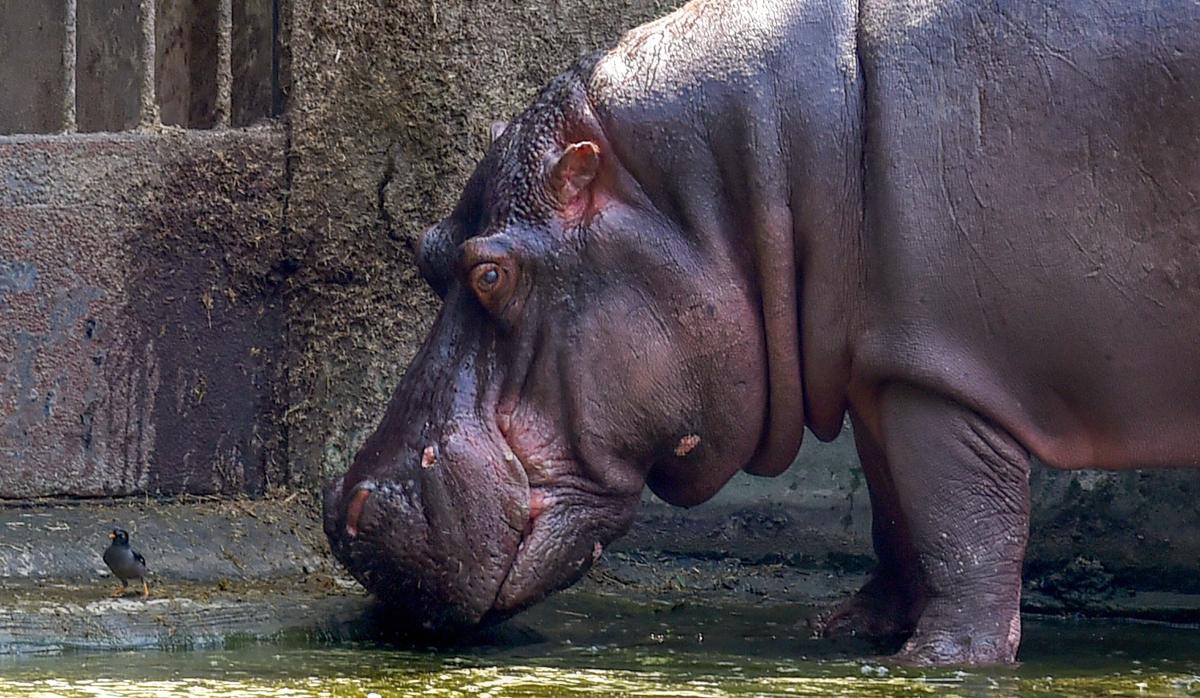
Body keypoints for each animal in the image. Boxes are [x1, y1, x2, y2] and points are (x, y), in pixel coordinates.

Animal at [324, 0, 1200, 665]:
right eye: (428, 249)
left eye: (491, 275)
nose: (343, 515)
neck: (748, 176)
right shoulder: (877, 370)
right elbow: (897, 511)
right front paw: (848, 628)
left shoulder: (936, 371)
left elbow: (963, 521)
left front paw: (936, 662)